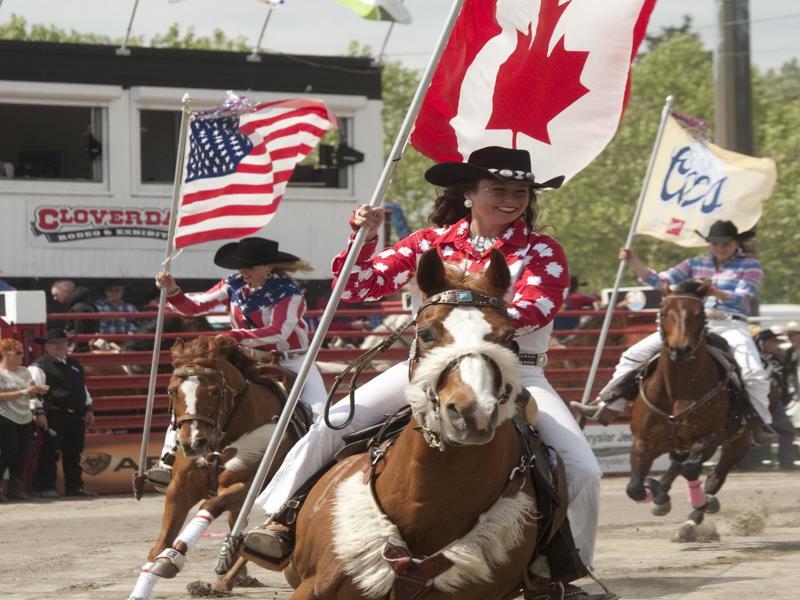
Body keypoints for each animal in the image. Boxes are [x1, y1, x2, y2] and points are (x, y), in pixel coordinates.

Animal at [139, 338, 302, 584]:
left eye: (215, 392)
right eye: (171, 391)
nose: (193, 443)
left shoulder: (246, 488)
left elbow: (210, 505)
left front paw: (172, 557)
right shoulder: (179, 488)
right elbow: (161, 542)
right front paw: (159, 561)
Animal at [624, 284, 752, 540]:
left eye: (699, 314)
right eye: (664, 313)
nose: (680, 349)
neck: (677, 390)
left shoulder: (710, 438)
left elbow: (691, 469)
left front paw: (701, 504)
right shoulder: (643, 441)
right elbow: (634, 489)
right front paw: (656, 493)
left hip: (737, 443)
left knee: (714, 477)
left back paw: (692, 519)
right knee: (677, 464)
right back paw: (661, 493)